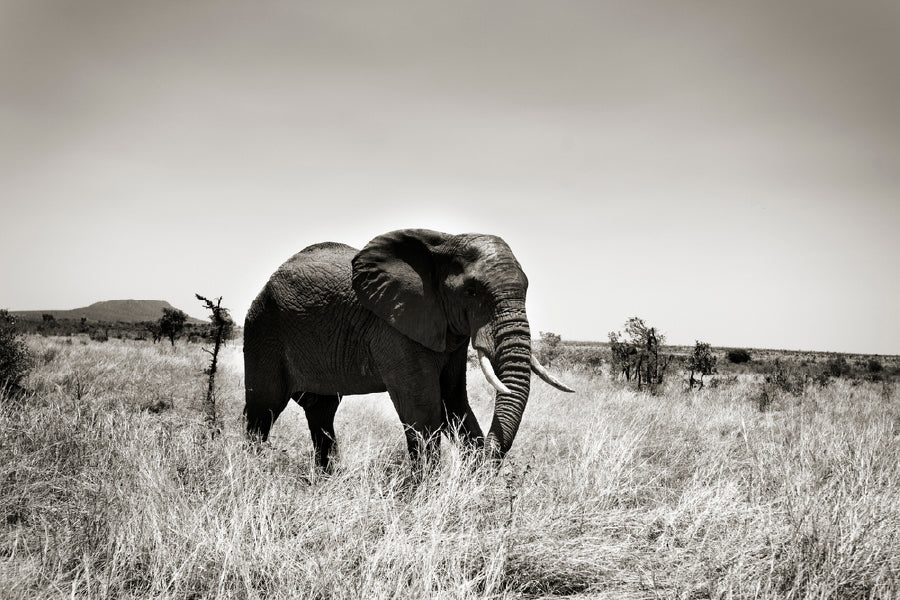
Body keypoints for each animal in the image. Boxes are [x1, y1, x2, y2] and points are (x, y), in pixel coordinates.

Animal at [243, 229, 573, 470]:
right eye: (471, 291)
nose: (488, 458)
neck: (444, 242)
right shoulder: (395, 328)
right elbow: (424, 409)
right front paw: (426, 494)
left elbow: (453, 402)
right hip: (263, 329)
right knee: (263, 409)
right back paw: (253, 473)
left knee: (321, 411)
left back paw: (327, 478)